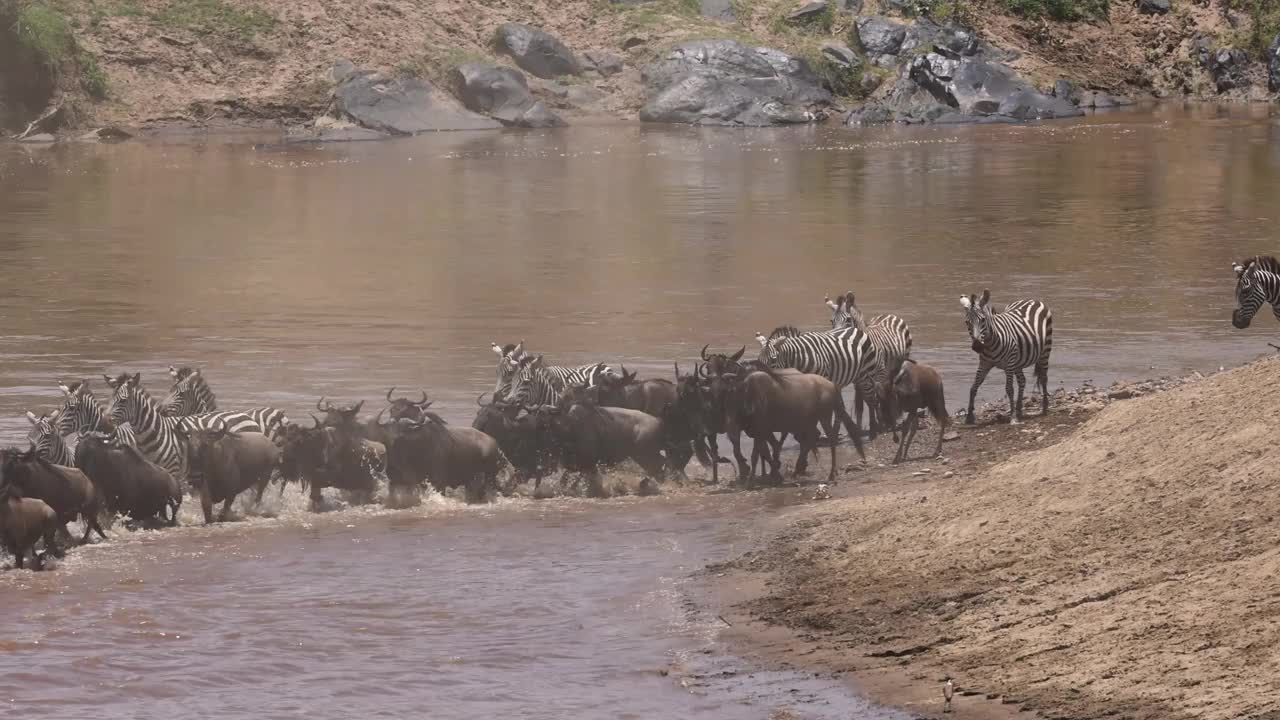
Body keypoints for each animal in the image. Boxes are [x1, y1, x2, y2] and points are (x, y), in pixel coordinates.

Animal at [824, 289, 916, 427]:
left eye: (848, 320)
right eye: (832, 321)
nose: (835, 337)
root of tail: (889, 314)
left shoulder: (879, 374)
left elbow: (874, 398)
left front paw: (877, 423)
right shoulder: (857, 380)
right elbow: (860, 404)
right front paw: (863, 425)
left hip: (898, 363)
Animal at [962, 288, 1049, 422]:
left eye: (983, 320)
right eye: (967, 322)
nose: (977, 346)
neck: (990, 344)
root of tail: (1031, 299)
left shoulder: (1009, 363)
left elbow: (1009, 389)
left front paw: (1012, 417)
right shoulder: (984, 363)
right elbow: (974, 387)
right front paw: (969, 417)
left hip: (1045, 351)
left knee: (1044, 378)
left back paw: (1044, 407)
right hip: (1018, 361)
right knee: (1022, 381)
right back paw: (1019, 409)